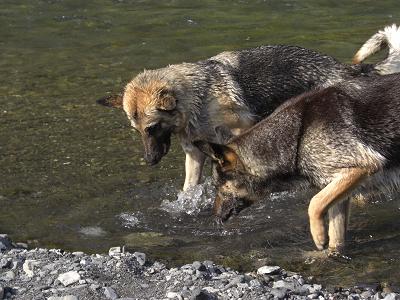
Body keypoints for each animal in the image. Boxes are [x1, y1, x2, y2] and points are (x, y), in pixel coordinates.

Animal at [97, 24, 400, 191]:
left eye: (152, 127)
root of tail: (346, 69)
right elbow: (188, 189)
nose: (149, 161)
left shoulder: (243, 133)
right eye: (137, 130)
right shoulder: (194, 155)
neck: (198, 99)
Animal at [195, 73, 400, 253]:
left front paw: (318, 236)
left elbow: (315, 203)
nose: (214, 218)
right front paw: (329, 256)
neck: (297, 136)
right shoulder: (337, 188)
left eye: (218, 187)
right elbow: (336, 236)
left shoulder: (362, 167)